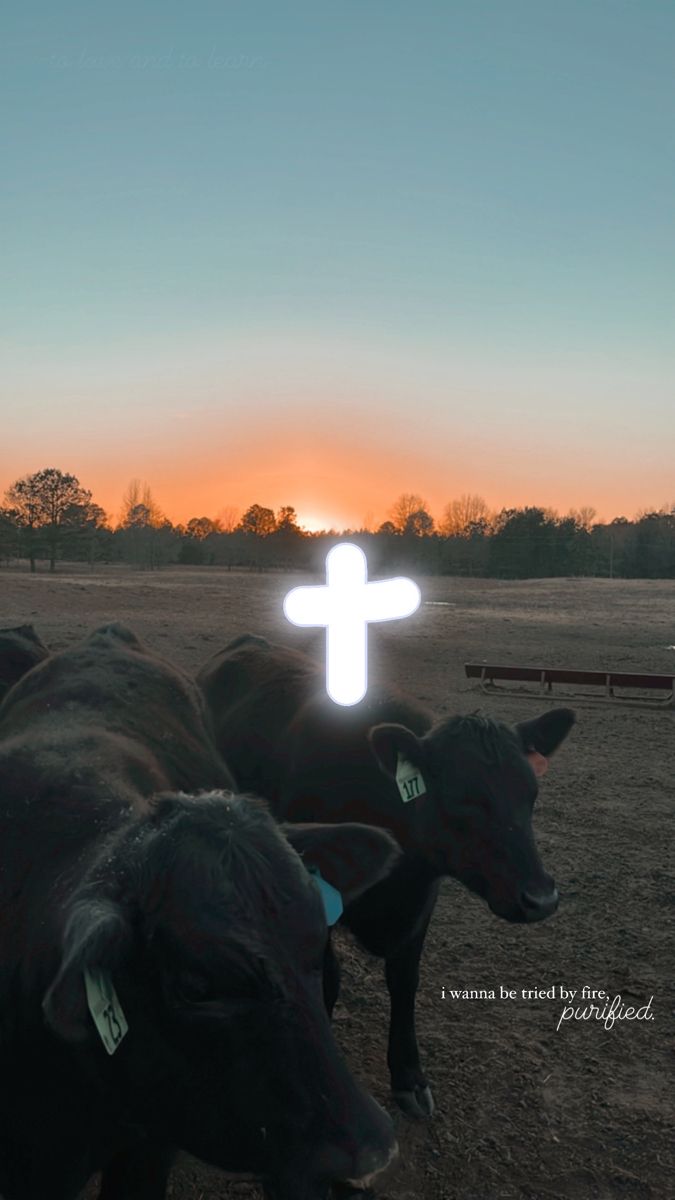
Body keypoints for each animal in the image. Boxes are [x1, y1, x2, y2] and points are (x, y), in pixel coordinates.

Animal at [194, 633, 571, 1118]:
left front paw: (408, 1074)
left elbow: (405, 982)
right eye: (462, 798)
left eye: (532, 793)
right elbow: (328, 980)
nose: (540, 898)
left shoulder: (421, 904)